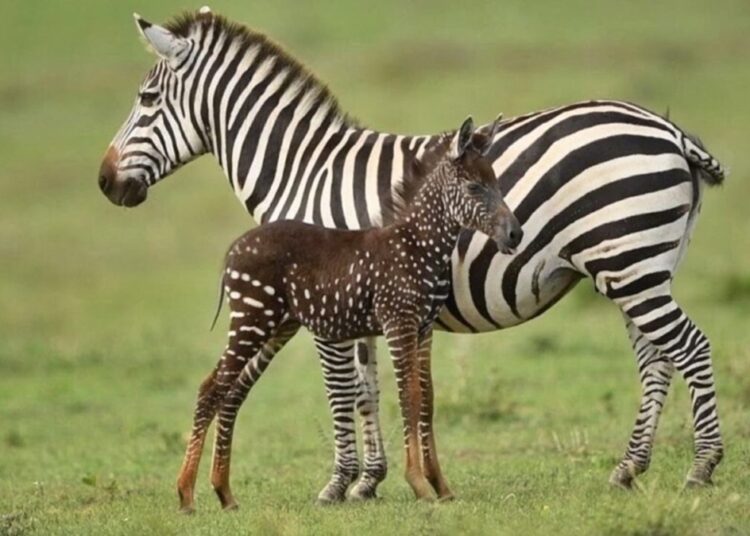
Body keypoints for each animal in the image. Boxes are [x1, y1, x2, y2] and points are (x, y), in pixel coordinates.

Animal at [98, 8, 726, 499]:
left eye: (146, 99)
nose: (105, 183)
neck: (306, 171)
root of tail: (667, 129)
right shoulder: (357, 302)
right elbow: (370, 390)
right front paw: (370, 480)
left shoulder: (327, 306)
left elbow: (342, 392)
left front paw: (339, 483)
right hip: (640, 267)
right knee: (655, 358)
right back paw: (628, 469)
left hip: (628, 263)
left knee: (689, 348)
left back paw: (701, 467)